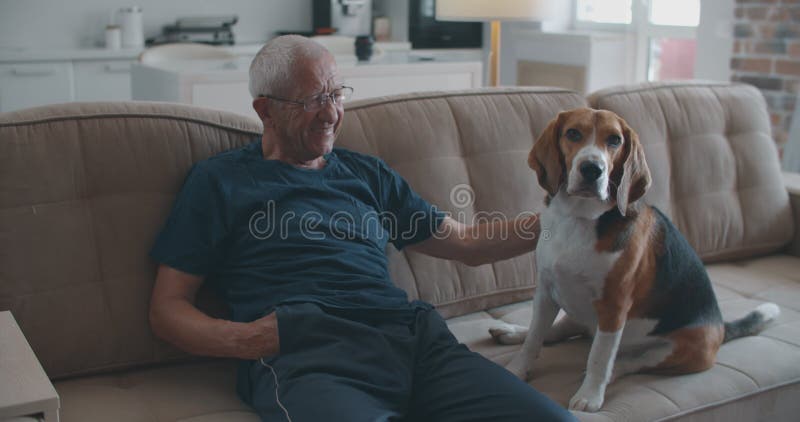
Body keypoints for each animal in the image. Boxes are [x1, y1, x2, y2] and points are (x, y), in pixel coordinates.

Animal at [490, 108, 780, 412]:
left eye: (615, 140)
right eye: (573, 133)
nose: (592, 169)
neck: (579, 218)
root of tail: (721, 326)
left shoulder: (613, 307)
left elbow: (600, 356)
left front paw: (590, 395)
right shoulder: (546, 291)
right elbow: (535, 338)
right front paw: (517, 369)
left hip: (682, 350)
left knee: (629, 361)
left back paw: (611, 372)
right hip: (576, 310)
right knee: (556, 331)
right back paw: (512, 332)